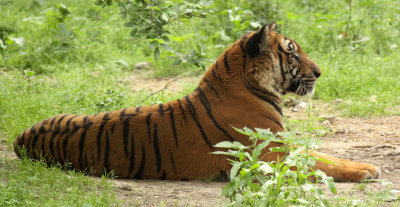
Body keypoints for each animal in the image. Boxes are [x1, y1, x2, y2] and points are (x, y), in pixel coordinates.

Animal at [13, 22, 382, 181]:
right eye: (291, 52)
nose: (319, 73)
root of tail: (20, 138)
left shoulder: (285, 147)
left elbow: (326, 156)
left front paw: (368, 165)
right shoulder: (272, 158)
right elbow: (320, 164)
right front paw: (367, 170)